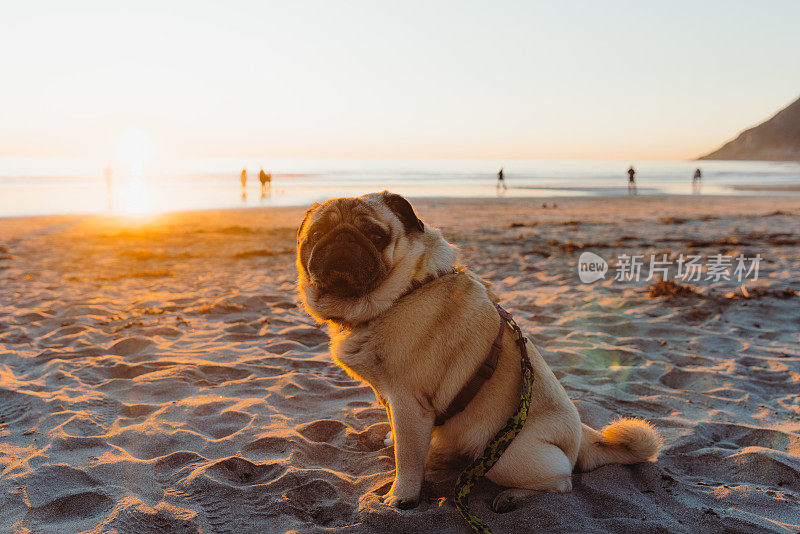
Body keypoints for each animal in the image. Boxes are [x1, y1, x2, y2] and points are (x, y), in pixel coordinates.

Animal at [296, 194, 660, 516]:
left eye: (375, 235)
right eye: (314, 235)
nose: (342, 239)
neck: (402, 292)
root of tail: (584, 437)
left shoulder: (409, 403)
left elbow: (408, 456)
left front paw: (402, 497)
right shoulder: (390, 399)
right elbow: (400, 439)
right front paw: (392, 442)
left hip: (505, 456)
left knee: (562, 483)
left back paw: (512, 497)